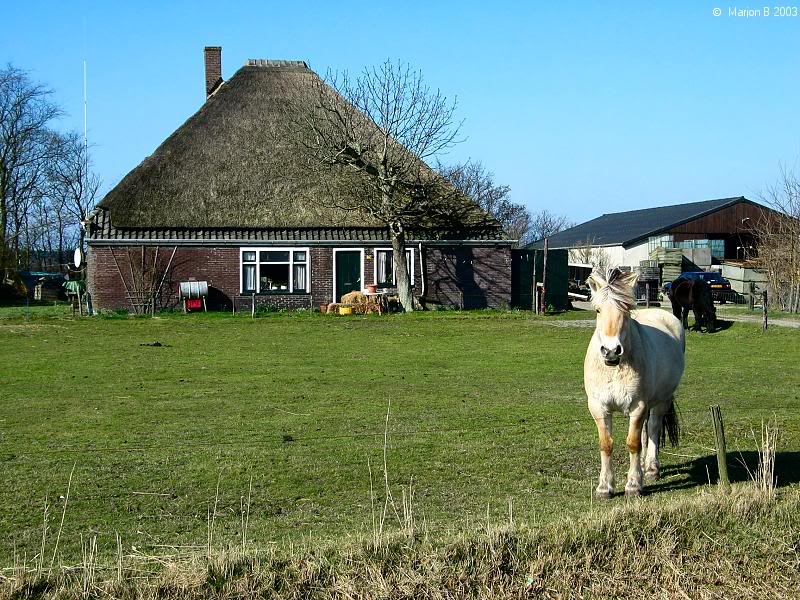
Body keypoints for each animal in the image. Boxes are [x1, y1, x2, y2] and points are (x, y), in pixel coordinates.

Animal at [585, 268, 685, 499]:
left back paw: (651, 468)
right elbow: (606, 444)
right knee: (646, 434)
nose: (611, 351)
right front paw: (604, 487)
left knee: (654, 428)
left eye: (626, 310)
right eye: (598, 310)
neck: (614, 369)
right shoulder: (598, 407)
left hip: (661, 401)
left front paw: (633, 485)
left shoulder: (638, 406)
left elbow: (632, 443)